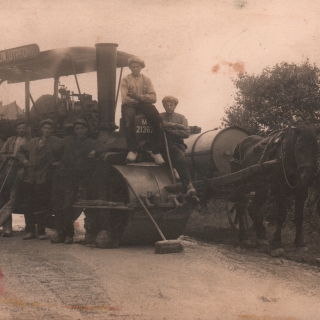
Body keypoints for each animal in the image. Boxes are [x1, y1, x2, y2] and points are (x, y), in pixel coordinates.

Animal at [231, 125, 318, 258]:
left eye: (316, 149)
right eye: (299, 147)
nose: (308, 177)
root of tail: (239, 144)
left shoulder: (301, 193)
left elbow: (299, 217)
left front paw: (300, 244)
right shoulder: (280, 192)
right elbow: (281, 216)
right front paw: (277, 244)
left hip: (261, 187)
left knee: (252, 208)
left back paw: (261, 237)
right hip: (240, 185)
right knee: (241, 207)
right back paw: (244, 237)